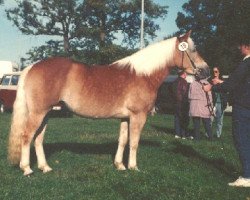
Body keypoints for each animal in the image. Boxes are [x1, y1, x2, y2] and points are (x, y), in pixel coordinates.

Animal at [7, 30, 209, 175]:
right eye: (192, 50)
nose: (205, 70)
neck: (143, 75)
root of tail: (31, 67)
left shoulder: (126, 117)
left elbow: (123, 140)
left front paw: (119, 165)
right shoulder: (138, 116)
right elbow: (134, 142)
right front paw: (133, 167)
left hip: (47, 113)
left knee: (38, 139)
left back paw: (45, 167)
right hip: (38, 113)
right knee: (26, 136)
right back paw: (27, 169)